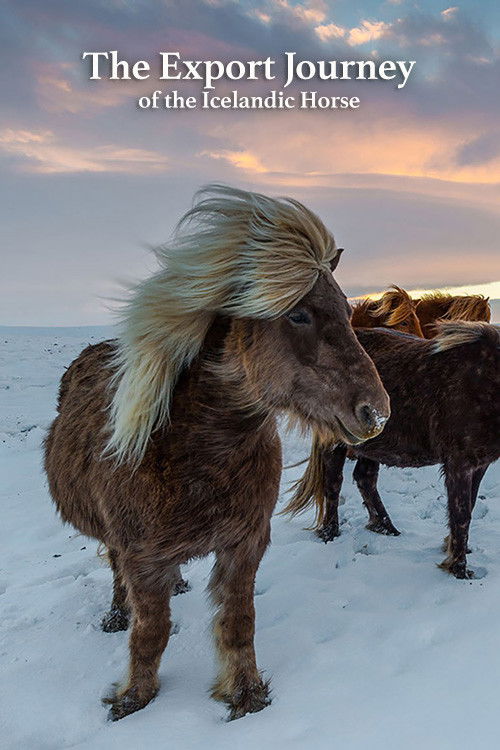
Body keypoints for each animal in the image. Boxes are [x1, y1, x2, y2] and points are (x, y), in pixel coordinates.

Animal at [44, 185, 390, 721]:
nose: (376, 412)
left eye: (349, 313)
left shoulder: (244, 545)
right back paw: (117, 614)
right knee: (116, 570)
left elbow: (237, 622)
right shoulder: (142, 558)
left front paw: (245, 694)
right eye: (298, 314)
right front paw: (133, 699)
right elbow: (151, 632)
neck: (195, 454)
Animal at [285, 323, 500, 579]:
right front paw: (458, 568)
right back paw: (331, 533)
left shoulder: (479, 464)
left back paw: (386, 527)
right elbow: (461, 513)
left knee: (365, 479)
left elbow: (470, 504)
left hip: (372, 445)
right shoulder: (459, 463)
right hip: (336, 443)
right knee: (333, 484)